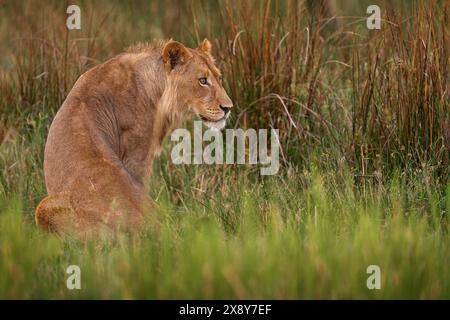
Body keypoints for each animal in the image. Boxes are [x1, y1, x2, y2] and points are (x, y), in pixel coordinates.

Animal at [33, 38, 234, 238]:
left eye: (219, 77)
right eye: (202, 81)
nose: (228, 108)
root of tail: (149, 225)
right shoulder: (137, 157)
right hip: (44, 208)